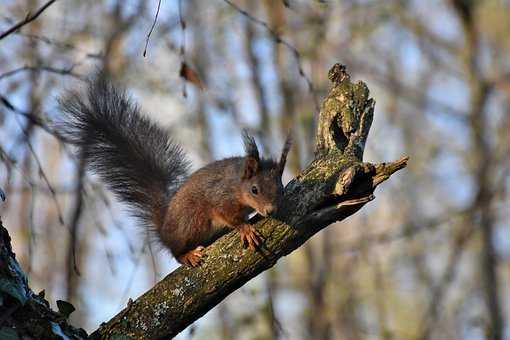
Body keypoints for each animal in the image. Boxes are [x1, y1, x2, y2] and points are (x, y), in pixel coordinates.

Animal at [58, 73, 290, 266]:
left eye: (281, 188)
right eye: (254, 190)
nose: (270, 210)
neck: (237, 184)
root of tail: (164, 228)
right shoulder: (220, 197)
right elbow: (227, 214)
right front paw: (245, 228)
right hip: (190, 224)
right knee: (175, 252)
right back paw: (187, 255)